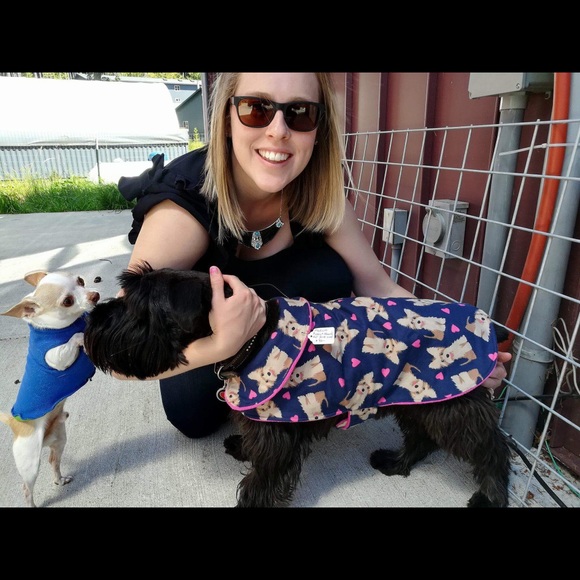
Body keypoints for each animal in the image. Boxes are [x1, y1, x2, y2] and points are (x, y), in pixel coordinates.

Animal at [0, 271, 100, 507]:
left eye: (81, 281)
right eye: (67, 301)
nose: (95, 295)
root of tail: (14, 423)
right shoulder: (56, 358)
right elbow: (73, 338)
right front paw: (80, 335)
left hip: (59, 440)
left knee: (53, 461)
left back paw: (60, 479)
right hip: (29, 463)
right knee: (26, 487)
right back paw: (31, 504)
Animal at [84, 262, 512, 508]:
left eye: (139, 308)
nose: (93, 318)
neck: (255, 337)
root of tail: (486, 324)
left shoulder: (278, 444)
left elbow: (261, 484)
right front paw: (242, 448)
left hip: (452, 408)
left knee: (490, 448)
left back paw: (489, 496)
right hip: (414, 397)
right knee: (421, 437)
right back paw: (396, 462)